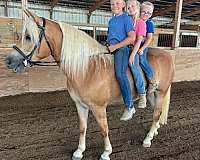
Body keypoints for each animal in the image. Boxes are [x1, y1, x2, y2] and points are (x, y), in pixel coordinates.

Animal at [6, 9, 173, 160]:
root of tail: (167, 54)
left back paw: (147, 139)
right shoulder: (80, 105)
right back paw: (154, 131)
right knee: (156, 113)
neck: (87, 69)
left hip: (161, 92)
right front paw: (79, 151)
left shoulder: (98, 107)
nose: (8, 61)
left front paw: (106, 152)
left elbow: (104, 129)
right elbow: (82, 128)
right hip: (152, 94)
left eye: (28, 37)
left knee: (156, 114)